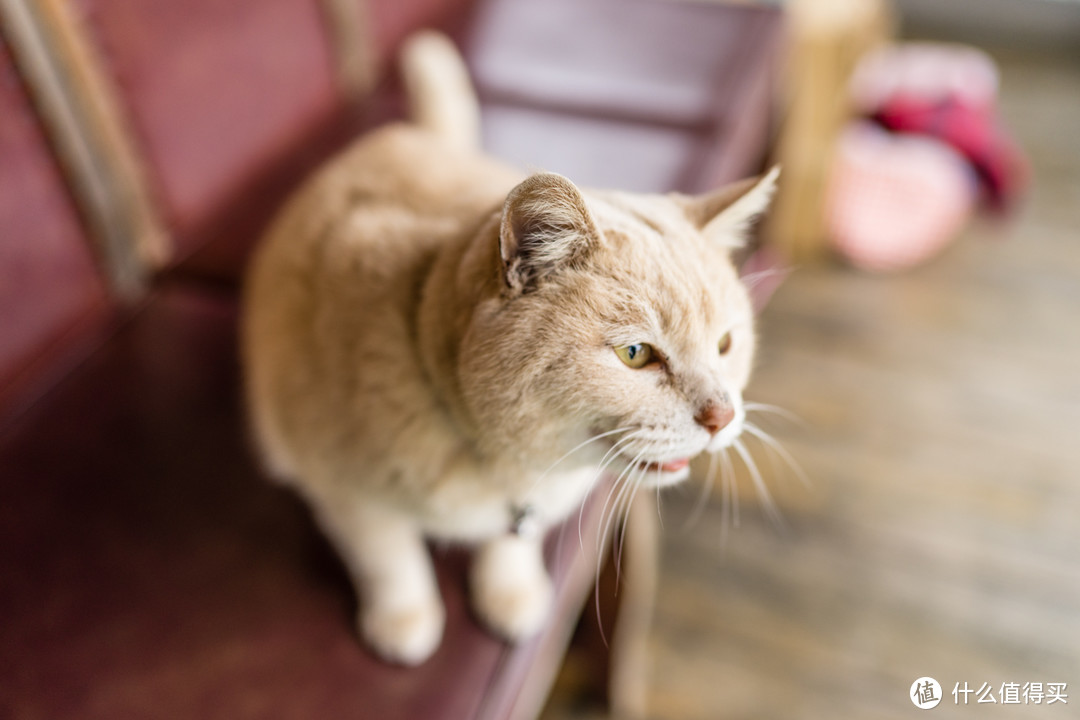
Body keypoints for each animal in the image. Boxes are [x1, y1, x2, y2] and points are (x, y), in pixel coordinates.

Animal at [243, 32, 777, 664]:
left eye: (725, 344)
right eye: (636, 354)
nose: (722, 416)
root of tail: (405, 135)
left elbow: (512, 546)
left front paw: (510, 592)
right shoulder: (345, 493)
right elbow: (389, 557)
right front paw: (405, 619)